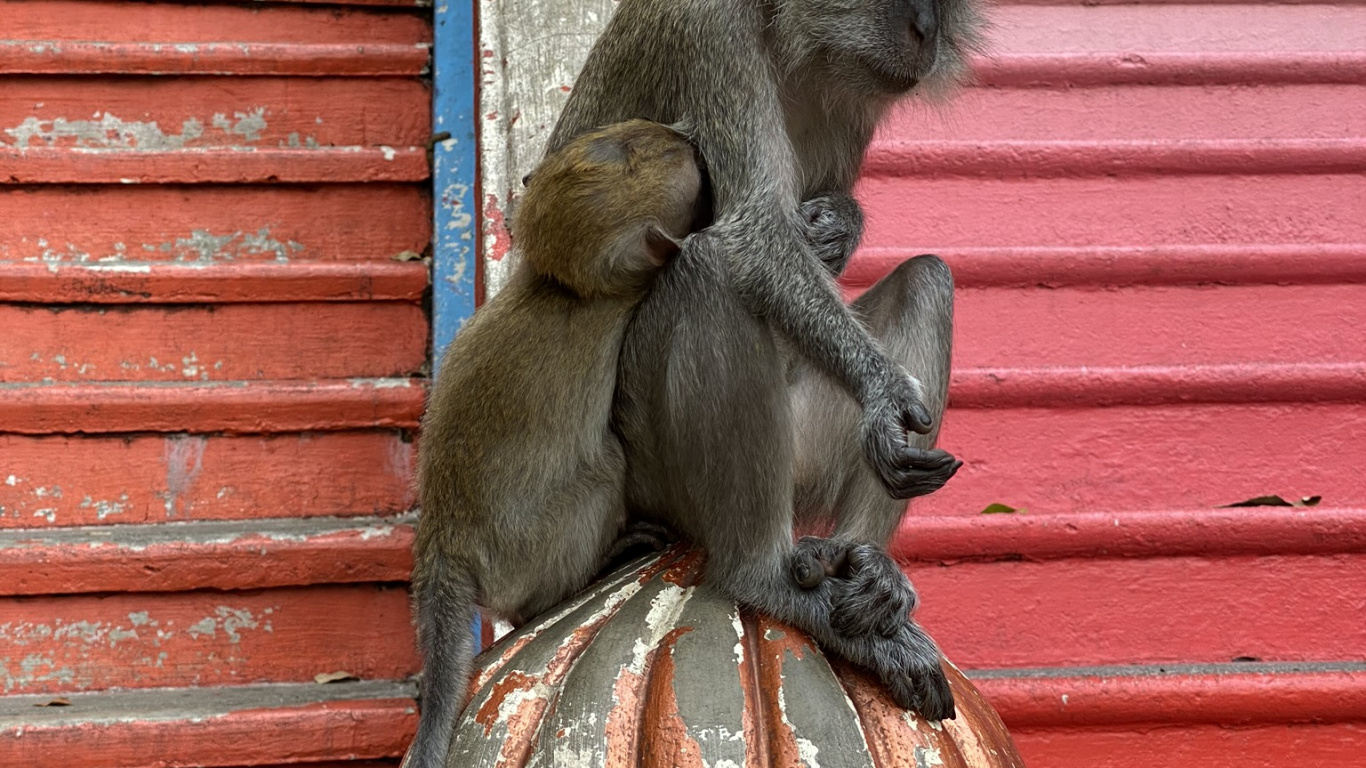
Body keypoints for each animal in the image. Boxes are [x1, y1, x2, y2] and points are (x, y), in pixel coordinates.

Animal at [407, 120, 704, 768]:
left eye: (632, 135)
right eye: (653, 150)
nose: (684, 136)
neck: (563, 289)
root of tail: (443, 541)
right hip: (530, 548)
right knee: (604, 465)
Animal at [545, 0, 983, 719]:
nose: (928, 32)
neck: (789, 33)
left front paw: (841, 223)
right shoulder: (707, 36)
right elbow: (756, 236)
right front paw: (882, 391)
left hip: (799, 443)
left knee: (927, 280)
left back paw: (862, 563)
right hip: (655, 466)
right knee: (709, 271)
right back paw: (762, 576)